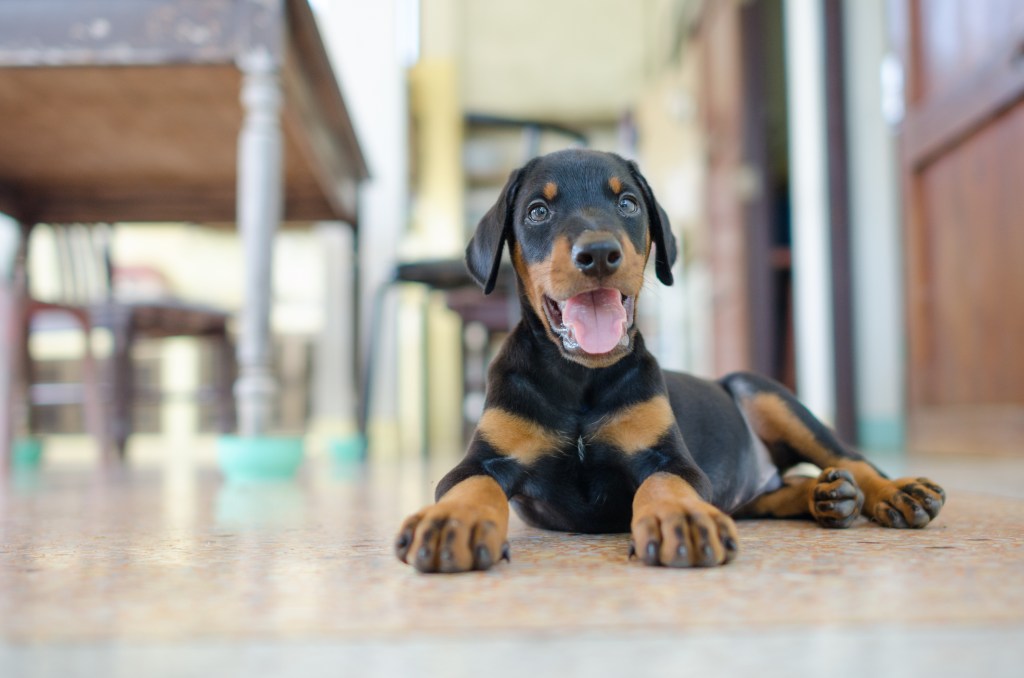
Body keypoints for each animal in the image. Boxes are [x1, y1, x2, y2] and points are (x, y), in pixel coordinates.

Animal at [391, 150, 942, 573]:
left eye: (628, 203)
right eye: (537, 212)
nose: (598, 254)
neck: (579, 379)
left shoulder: (669, 457)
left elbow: (665, 482)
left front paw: (680, 519)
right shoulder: (483, 458)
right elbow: (472, 484)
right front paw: (453, 523)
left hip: (764, 392)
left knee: (848, 456)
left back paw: (894, 492)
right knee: (770, 493)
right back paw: (826, 496)